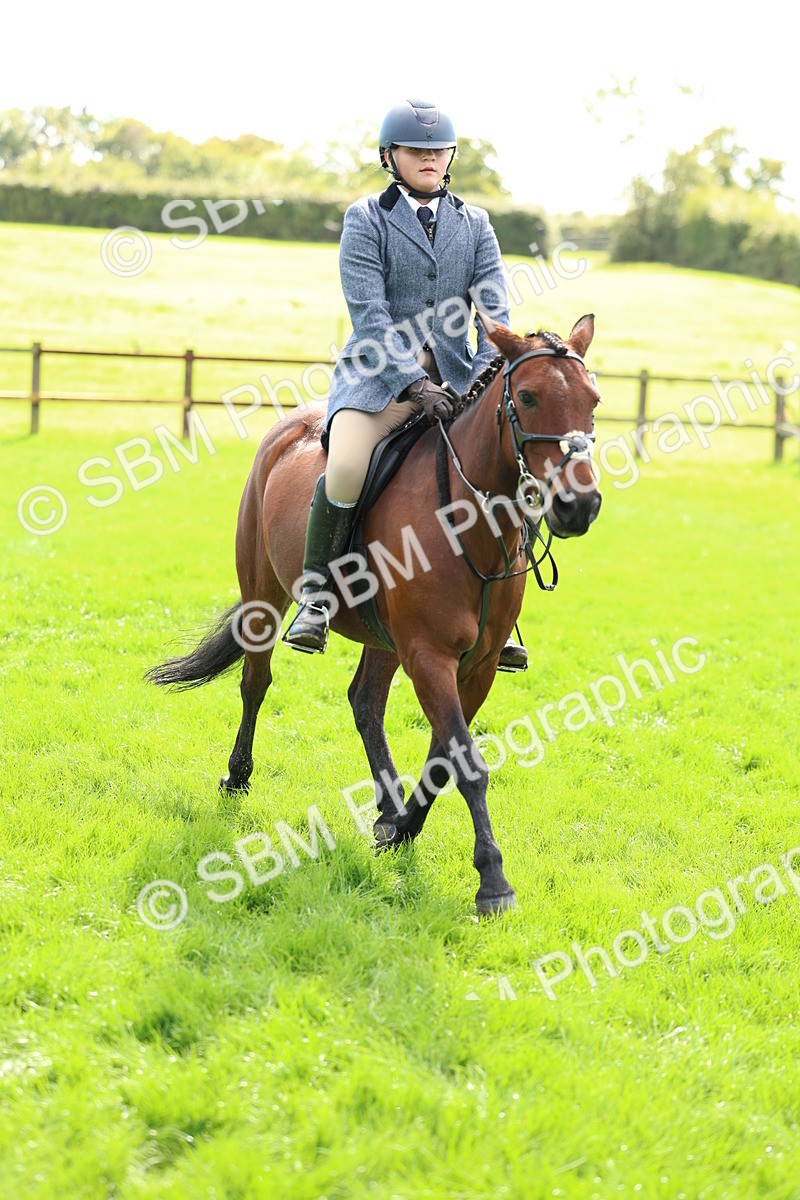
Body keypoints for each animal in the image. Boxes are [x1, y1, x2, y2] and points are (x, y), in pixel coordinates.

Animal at [146, 314, 602, 915]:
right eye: (527, 397)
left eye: (593, 400)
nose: (580, 506)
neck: (468, 522)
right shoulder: (428, 655)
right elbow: (466, 761)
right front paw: (493, 882)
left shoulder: (475, 666)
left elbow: (444, 760)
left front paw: (404, 828)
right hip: (265, 594)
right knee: (256, 681)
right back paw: (237, 776)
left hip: (383, 637)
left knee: (364, 702)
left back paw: (388, 809)